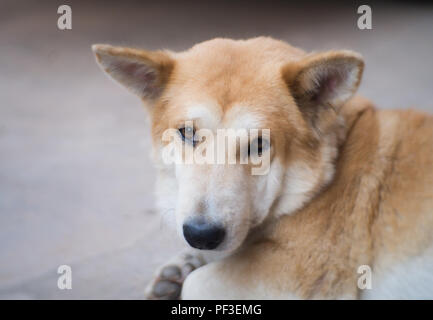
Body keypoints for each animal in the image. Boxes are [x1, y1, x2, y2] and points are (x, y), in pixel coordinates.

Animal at [92, 37, 432, 300]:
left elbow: (197, 283)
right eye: (187, 133)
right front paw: (180, 267)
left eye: (258, 145)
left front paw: (189, 271)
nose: (201, 235)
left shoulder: (304, 270)